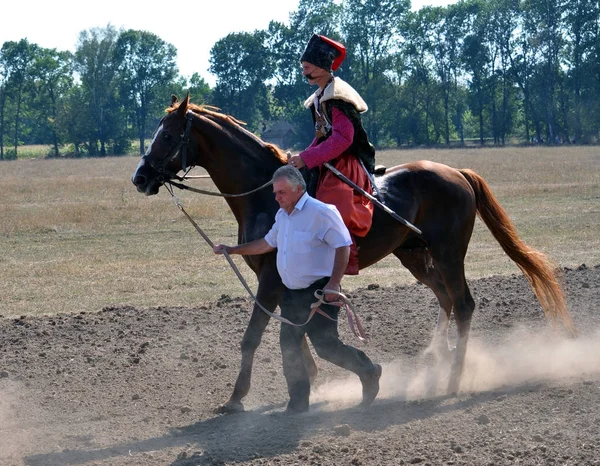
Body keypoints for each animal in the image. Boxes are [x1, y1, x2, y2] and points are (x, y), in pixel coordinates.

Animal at [131, 93, 572, 412]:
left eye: (168, 136)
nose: (140, 178)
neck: (265, 193)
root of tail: (456, 173)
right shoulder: (279, 280)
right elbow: (295, 330)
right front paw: (310, 380)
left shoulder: (271, 280)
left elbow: (254, 337)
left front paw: (237, 398)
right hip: (415, 256)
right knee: (445, 300)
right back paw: (437, 362)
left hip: (449, 255)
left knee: (462, 303)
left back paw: (452, 380)